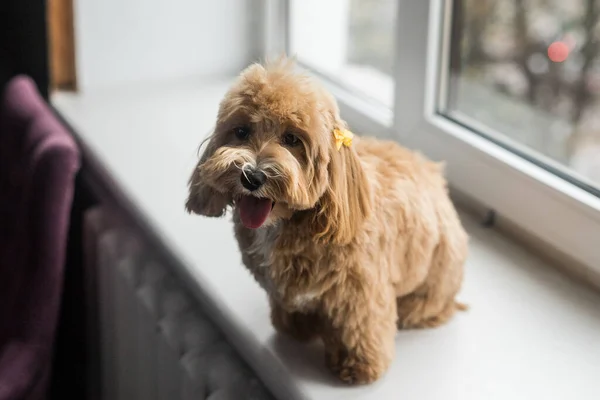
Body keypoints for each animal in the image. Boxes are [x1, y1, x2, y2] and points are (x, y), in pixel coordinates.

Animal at [185, 57, 466, 384]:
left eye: (291, 138)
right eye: (241, 131)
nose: (252, 176)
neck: (287, 225)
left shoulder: (359, 292)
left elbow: (359, 328)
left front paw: (357, 366)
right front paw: (295, 327)